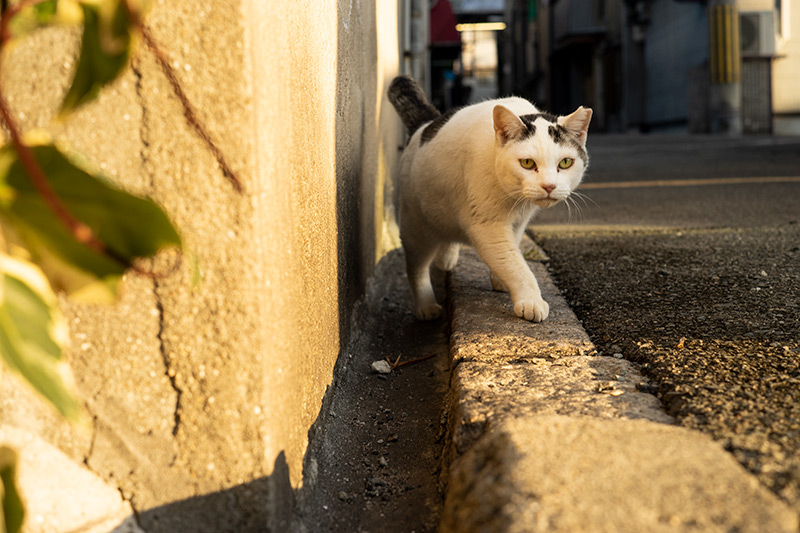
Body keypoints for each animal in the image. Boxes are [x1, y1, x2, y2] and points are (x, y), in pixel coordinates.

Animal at [390, 76, 592, 320]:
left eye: (565, 162)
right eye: (527, 163)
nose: (549, 186)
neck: (515, 201)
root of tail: (426, 124)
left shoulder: (518, 223)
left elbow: (512, 252)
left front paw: (500, 280)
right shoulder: (488, 227)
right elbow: (514, 263)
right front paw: (531, 299)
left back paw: (446, 258)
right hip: (416, 227)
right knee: (415, 267)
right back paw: (426, 305)